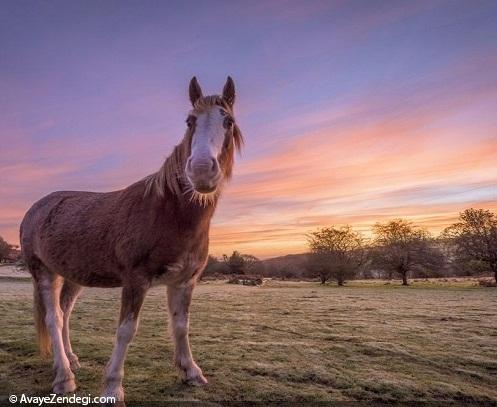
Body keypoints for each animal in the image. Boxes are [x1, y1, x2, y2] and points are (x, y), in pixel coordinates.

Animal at [19, 78, 242, 404]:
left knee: (65, 311)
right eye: (190, 121)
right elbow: (126, 331)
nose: (201, 170)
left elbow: (181, 326)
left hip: (72, 276)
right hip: (43, 272)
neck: (168, 212)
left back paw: (71, 360)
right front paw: (113, 387)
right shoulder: (136, 281)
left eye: (228, 121)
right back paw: (64, 377)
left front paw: (191, 373)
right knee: (53, 318)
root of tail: (37, 207)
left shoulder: (184, 281)